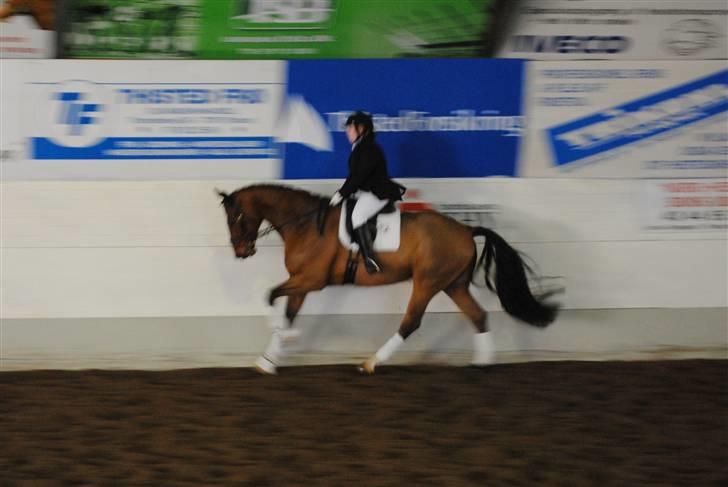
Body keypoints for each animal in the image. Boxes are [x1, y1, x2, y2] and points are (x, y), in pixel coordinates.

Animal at [216, 185, 556, 376]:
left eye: (235, 217)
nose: (241, 252)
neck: (306, 224)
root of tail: (466, 229)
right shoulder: (301, 281)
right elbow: (285, 309)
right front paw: (269, 360)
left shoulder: (311, 279)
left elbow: (270, 295)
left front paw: (285, 337)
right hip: (453, 284)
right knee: (478, 315)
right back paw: (482, 363)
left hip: (427, 283)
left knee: (411, 322)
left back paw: (371, 363)